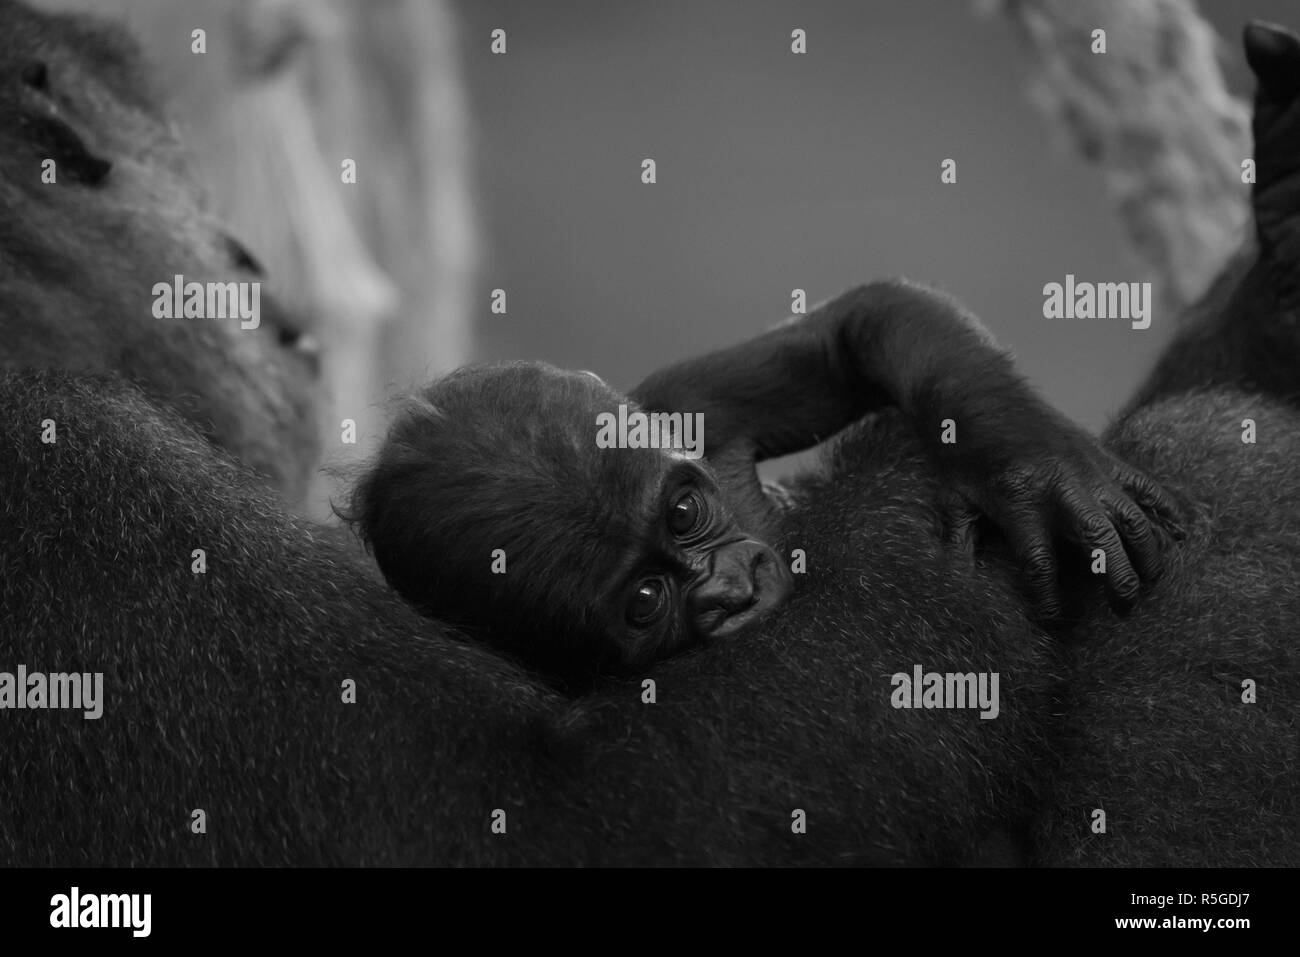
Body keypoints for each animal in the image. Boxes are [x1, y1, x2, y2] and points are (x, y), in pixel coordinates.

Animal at [347, 281, 1180, 685]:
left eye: (684, 511)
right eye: (645, 599)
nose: (732, 586)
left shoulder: (686, 404)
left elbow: (853, 329)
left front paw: (1031, 465)